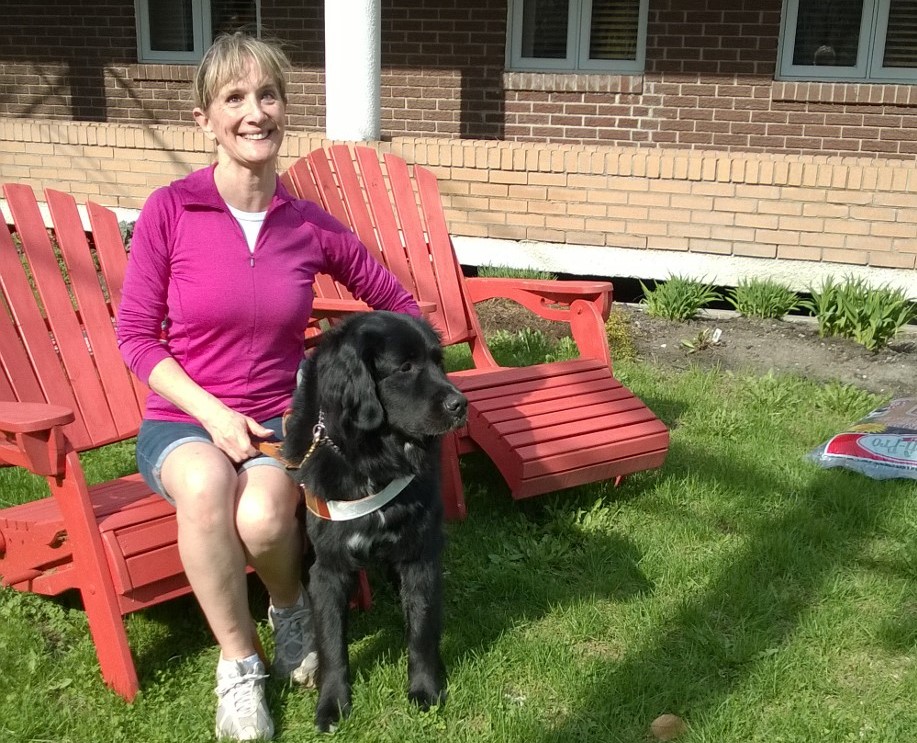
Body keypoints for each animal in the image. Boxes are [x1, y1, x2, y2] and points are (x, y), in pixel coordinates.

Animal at [280, 310, 466, 732]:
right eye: (405, 366)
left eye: (438, 361)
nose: (460, 403)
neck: (372, 461)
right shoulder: (328, 567)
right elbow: (332, 641)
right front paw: (331, 704)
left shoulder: (419, 554)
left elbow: (421, 628)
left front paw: (426, 689)